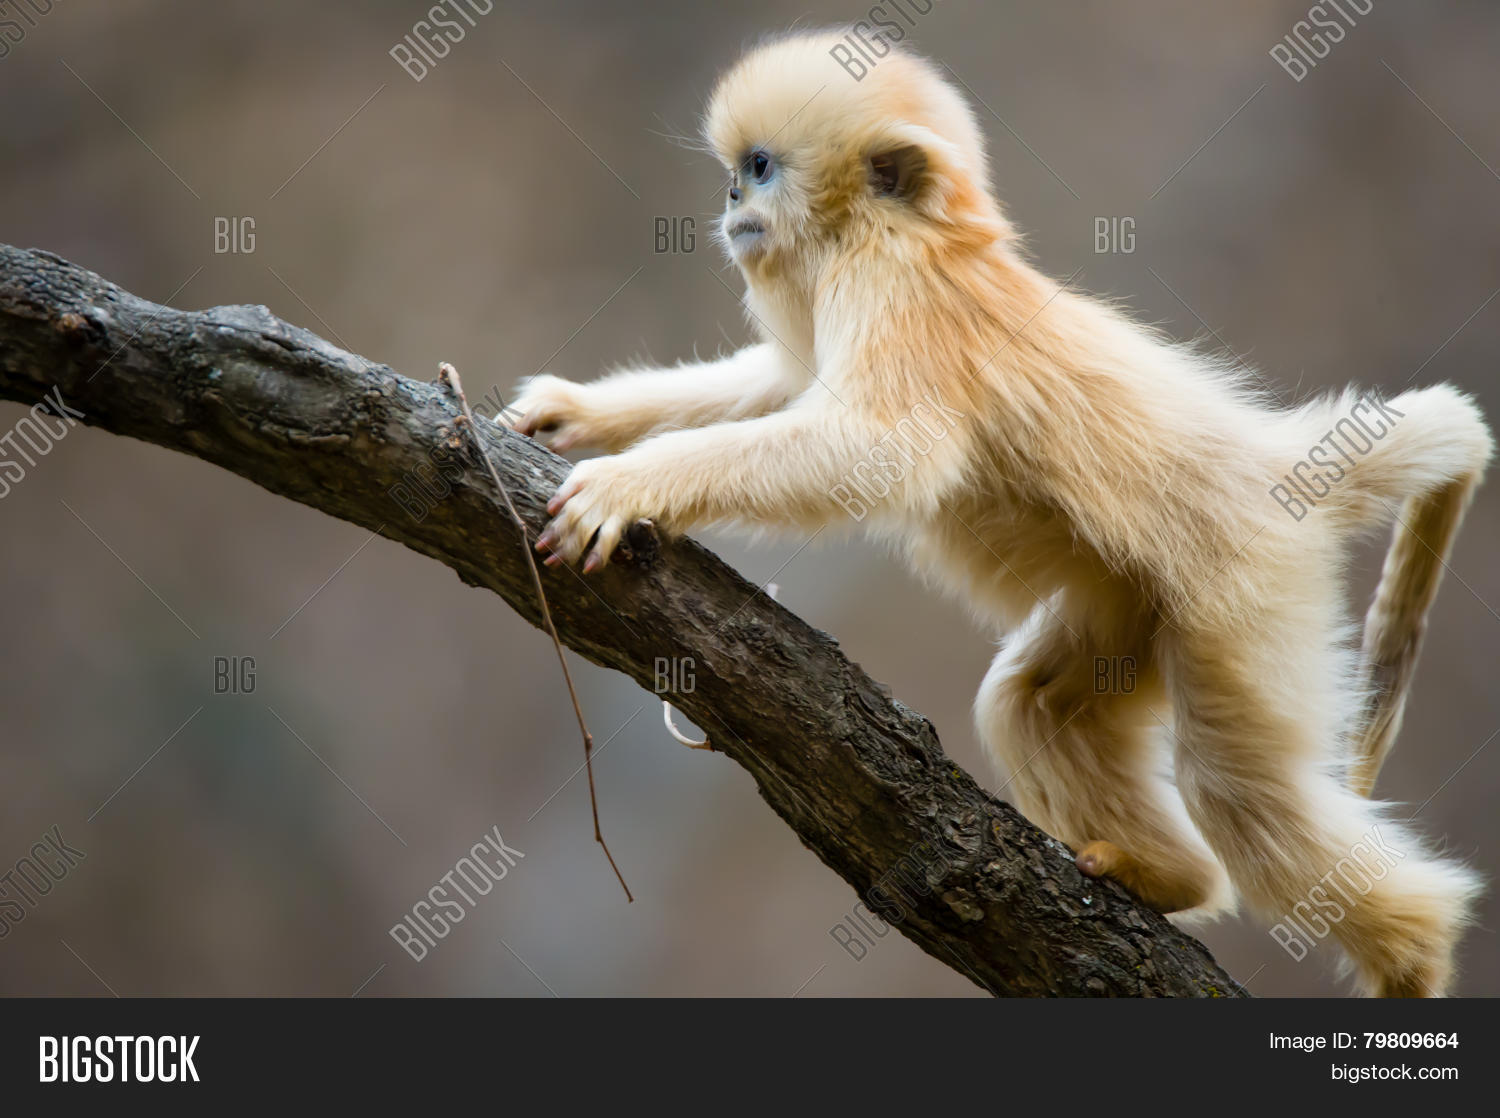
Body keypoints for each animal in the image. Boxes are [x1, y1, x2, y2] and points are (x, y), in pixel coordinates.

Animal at [502, 29, 1491, 997]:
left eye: (760, 166)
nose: (729, 195)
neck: (910, 233)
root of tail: (1273, 464)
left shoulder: (887, 283)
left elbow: (881, 451)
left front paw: (628, 484)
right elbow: (782, 383)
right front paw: (570, 413)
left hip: (1245, 590)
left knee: (1240, 791)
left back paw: (1415, 963)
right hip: (1131, 604)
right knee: (1031, 705)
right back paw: (1166, 877)